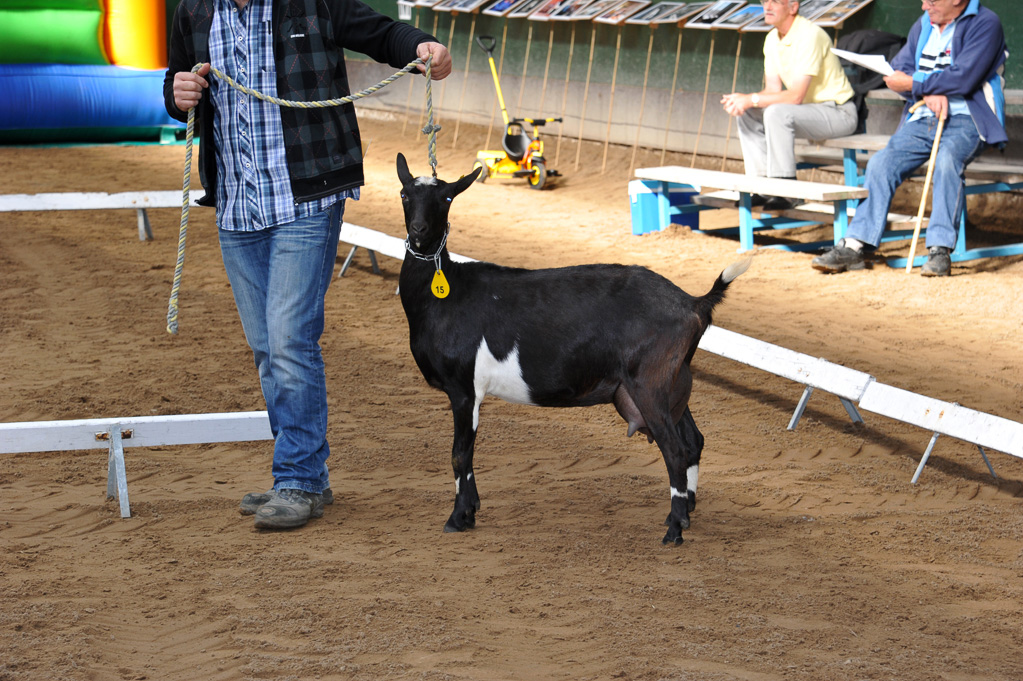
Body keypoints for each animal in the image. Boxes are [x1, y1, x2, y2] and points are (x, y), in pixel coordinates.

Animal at [394, 151, 748, 543]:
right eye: (405, 194)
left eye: (446, 198)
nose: (419, 231)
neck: (446, 295)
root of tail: (694, 303)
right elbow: (467, 456)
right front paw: (470, 512)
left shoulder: (463, 388)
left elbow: (460, 454)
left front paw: (457, 517)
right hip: (673, 384)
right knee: (693, 441)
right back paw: (686, 513)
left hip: (650, 384)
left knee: (674, 449)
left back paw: (673, 529)